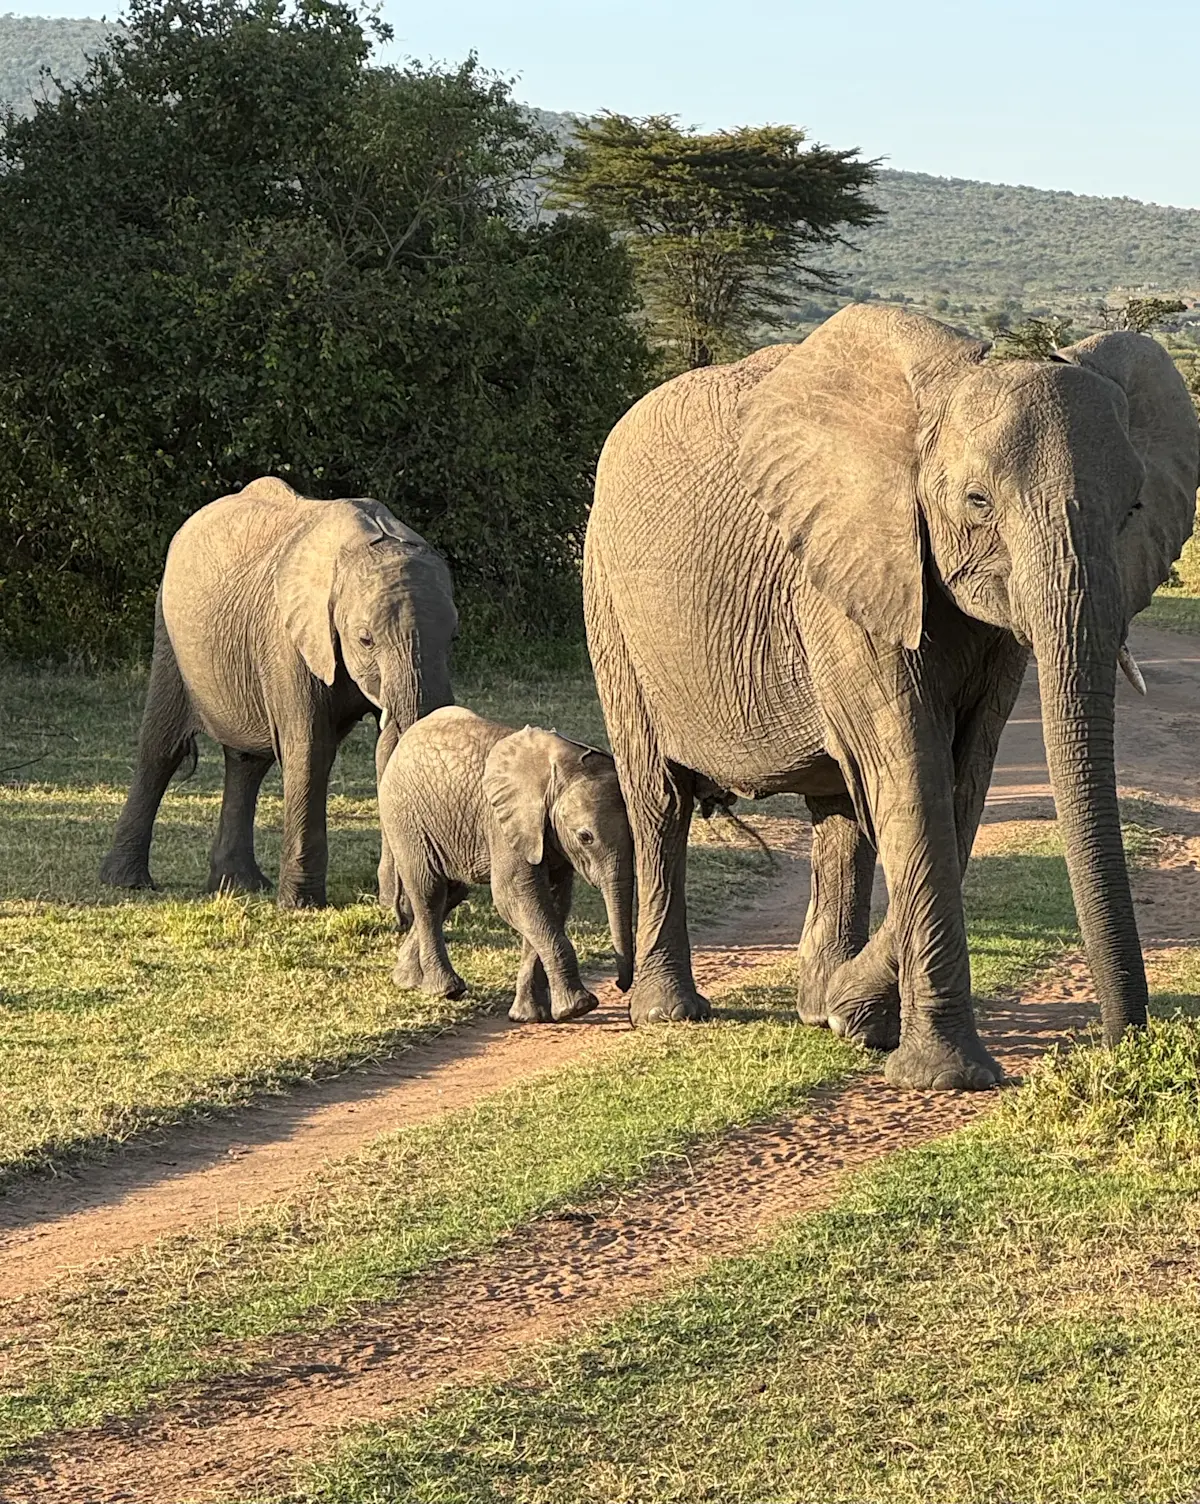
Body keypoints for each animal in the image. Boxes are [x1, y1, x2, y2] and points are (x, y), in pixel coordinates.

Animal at [100, 476, 457, 908]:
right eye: (365, 639)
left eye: (452, 638)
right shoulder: (287, 639)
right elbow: (310, 748)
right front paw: (301, 906)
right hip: (169, 633)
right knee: (161, 749)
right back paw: (127, 883)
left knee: (248, 762)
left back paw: (237, 886)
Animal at [378, 706, 635, 1021]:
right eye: (585, 837)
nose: (621, 985)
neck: (563, 768)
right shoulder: (504, 823)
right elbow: (516, 898)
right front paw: (577, 1008)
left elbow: (552, 904)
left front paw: (529, 1016)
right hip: (404, 817)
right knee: (429, 892)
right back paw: (446, 989)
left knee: (452, 892)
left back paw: (407, 979)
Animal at [583, 305, 1199, 1089]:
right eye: (976, 502)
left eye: (1133, 508)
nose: (1126, 1045)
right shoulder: (845, 577)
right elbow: (914, 777)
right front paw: (940, 1075)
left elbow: (963, 784)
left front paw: (854, 1020)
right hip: (610, 606)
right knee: (658, 800)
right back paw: (673, 1012)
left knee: (839, 816)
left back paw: (818, 1004)